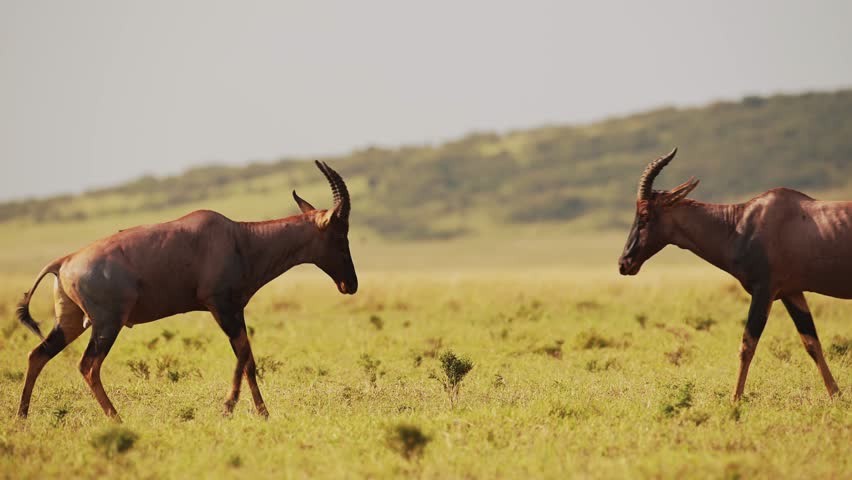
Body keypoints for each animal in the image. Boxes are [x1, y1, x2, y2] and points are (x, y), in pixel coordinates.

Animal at [16, 160, 356, 420]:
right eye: (340, 234)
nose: (350, 284)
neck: (240, 238)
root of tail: (64, 261)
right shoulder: (222, 308)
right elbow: (244, 356)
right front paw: (228, 408)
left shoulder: (235, 309)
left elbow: (248, 361)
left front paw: (262, 414)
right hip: (106, 324)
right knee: (88, 366)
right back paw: (116, 419)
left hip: (71, 322)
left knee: (37, 355)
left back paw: (22, 418)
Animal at [620, 149, 844, 402]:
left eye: (645, 213)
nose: (624, 263)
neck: (742, 222)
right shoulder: (792, 292)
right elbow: (811, 342)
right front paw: (836, 395)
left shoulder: (764, 291)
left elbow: (747, 345)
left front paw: (734, 400)